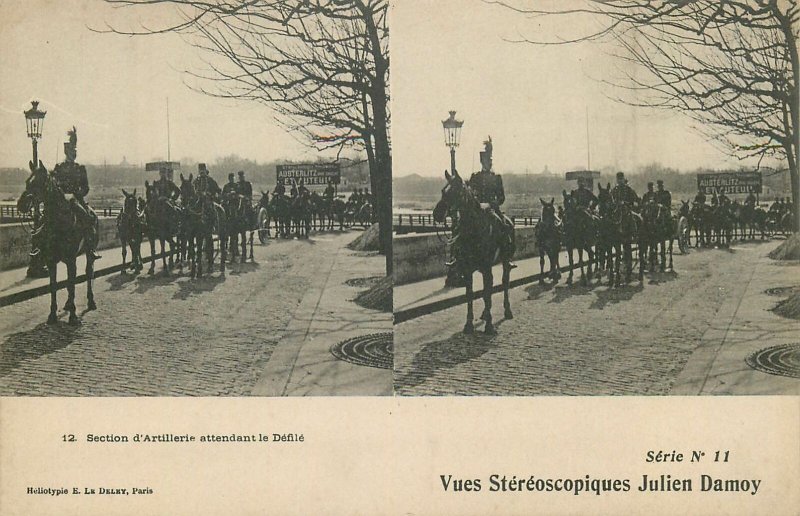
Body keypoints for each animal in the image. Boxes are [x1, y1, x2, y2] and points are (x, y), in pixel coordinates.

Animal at [17, 159, 96, 324]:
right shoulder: (51, 260)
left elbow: (71, 284)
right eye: (27, 181)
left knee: (89, 272)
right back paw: (67, 304)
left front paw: (73, 316)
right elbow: (54, 286)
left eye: (39, 182)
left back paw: (91, 301)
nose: (21, 204)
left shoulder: (72, 259)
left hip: (89, 252)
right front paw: (52, 314)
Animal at [432, 169, 512, 334]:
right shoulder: (467, 269)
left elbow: (487, 293)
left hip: (505, 260)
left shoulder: (487, 268)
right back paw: (484, 313)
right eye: (443, 191)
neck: (474, 229)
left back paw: (507, 311)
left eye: (456, 191)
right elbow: (470, 295)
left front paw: (489, 326)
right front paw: (468, 324)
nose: (437, 214)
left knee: (505, 282)